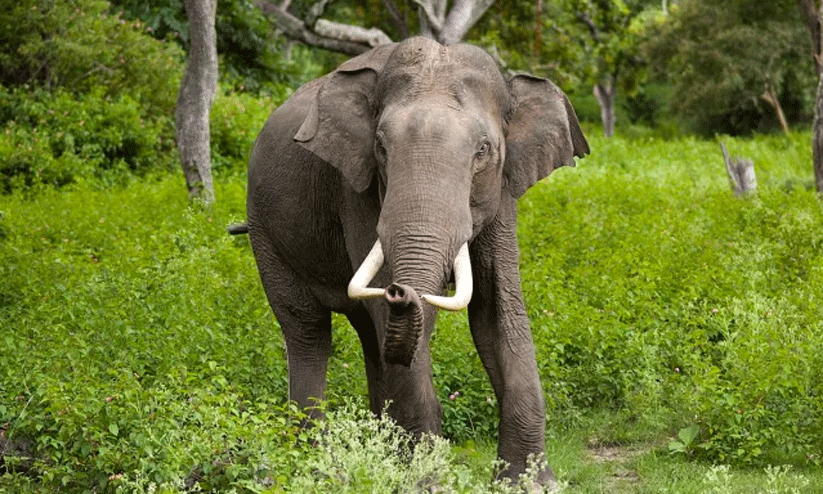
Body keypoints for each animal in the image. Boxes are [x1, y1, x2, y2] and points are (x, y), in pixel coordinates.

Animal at [242, 36, 589, 486]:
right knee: (307, 331)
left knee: (369, 337)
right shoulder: (357, 188)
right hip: (264, 230)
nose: (398, 290)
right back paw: (316, 465)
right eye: (380, 147)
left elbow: (497, 311)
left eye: (483, 151)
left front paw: (529, 484)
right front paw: (425, 481)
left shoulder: (503, 191)